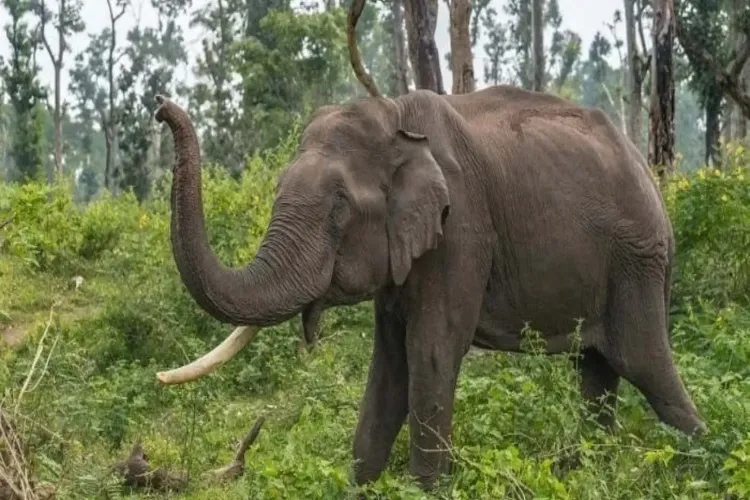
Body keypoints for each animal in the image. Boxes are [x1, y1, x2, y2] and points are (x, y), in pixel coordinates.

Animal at [152, 85, 705, 489]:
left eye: (339, 209)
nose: (160, 106)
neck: (395, 118)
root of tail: (651, 176)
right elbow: (389, 363)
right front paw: (361, 484)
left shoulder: (460, 229)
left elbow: (430, 351)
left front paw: (424, 489)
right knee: (598, 370)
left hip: (638, 261)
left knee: (644, 363)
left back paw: (703, 460)